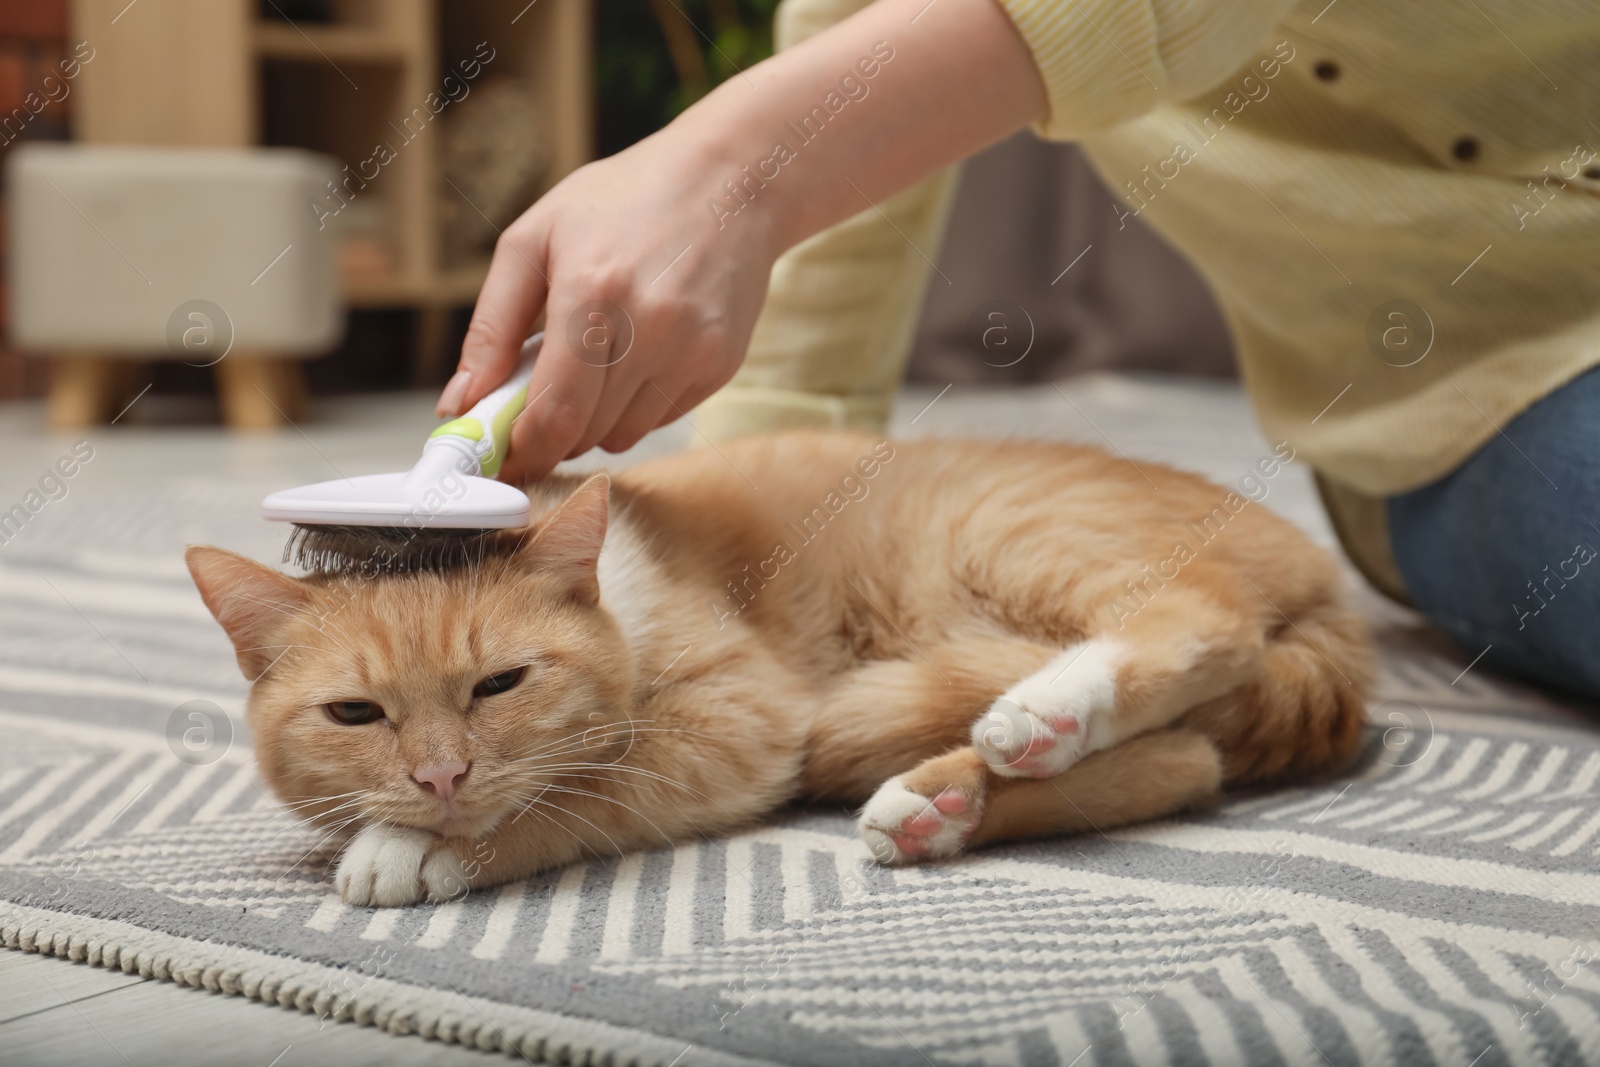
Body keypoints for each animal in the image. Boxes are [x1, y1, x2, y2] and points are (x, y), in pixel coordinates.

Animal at [184, 428, 1363, 908]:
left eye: (499, 685)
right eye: (354, 713)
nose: (438, 776)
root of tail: (1320, 575)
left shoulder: (734, 721)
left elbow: (583, 788)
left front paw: (412, 845)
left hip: (1010, 534)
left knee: (1201, 626)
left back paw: (1045, 707)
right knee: (1185, 760)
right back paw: (941, 807)